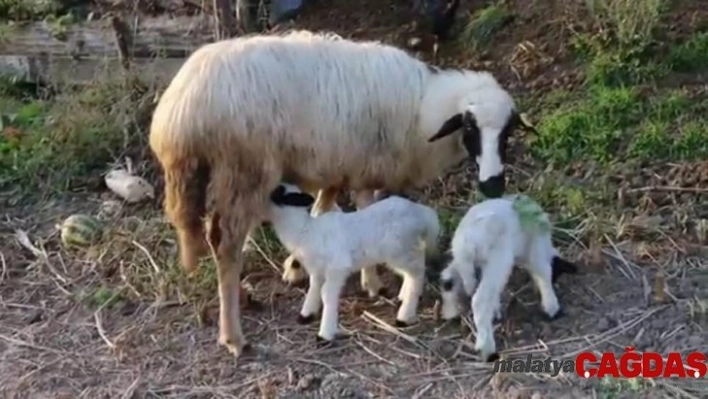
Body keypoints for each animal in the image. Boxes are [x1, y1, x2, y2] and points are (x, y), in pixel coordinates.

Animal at [268, 183, 440, 342]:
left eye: (278, 191)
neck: (305, 230)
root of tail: (420, 213)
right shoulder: (317, 270)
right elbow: (314, 287)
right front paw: (306, 315)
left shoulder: (337, 267)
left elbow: (326, 293)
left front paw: (325, 334)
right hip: (402, 250)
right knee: (412, 269)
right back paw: (403, 297)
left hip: (400, 250)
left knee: (417, 270)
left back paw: (405, 316)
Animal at [436, 195, 580, 364]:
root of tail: (468, 241)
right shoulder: (535, 249)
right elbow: (543, 272)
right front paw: (551, 307)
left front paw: (495, 310)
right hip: (498, 259)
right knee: (480, 300)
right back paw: (486, 348)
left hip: (467, 260)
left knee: (450, 278)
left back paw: (451, 311)